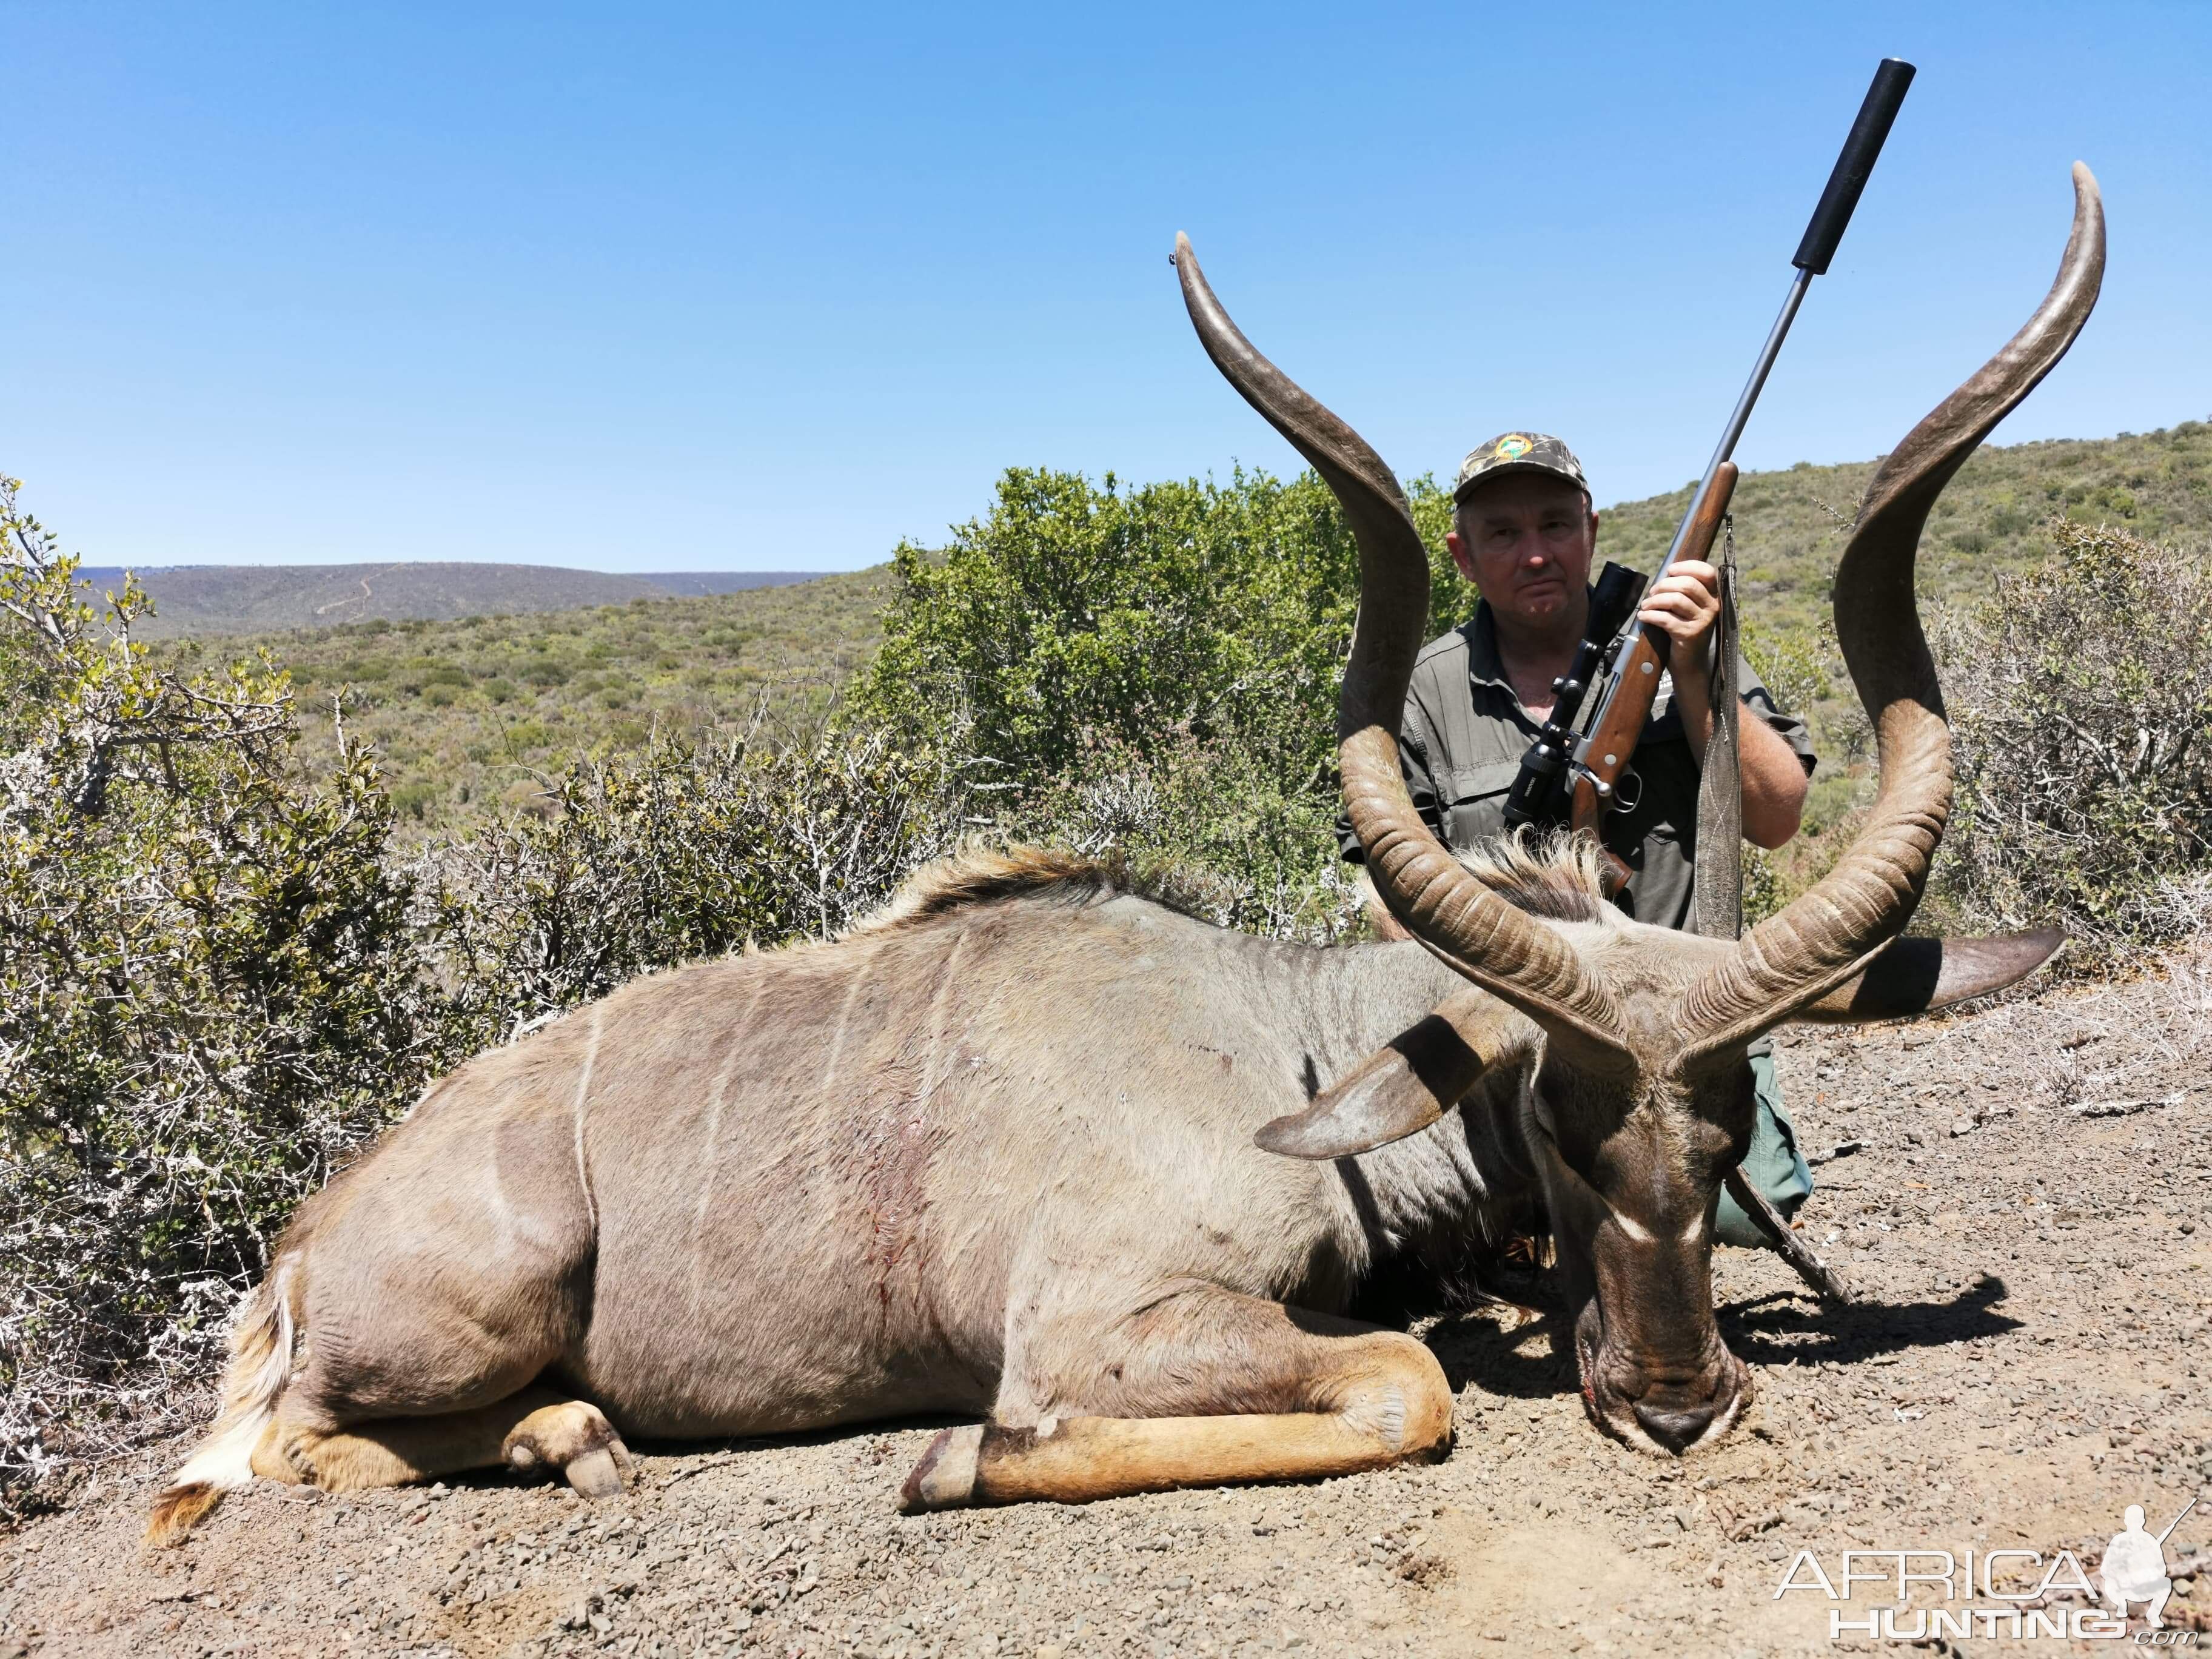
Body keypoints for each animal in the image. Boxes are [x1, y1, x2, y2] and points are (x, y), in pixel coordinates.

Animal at [147, 166, 2097, 1548]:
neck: (1277, 1039)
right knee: (281, 1449)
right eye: (1556, 1114)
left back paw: (575, 1436)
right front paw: (955, 1458)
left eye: (1729, 1115)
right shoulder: (1106, 1319)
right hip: (472, 1311)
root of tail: (302, 1252)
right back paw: (563, 1436)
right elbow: (1404, 1382)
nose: (1685, 1404)